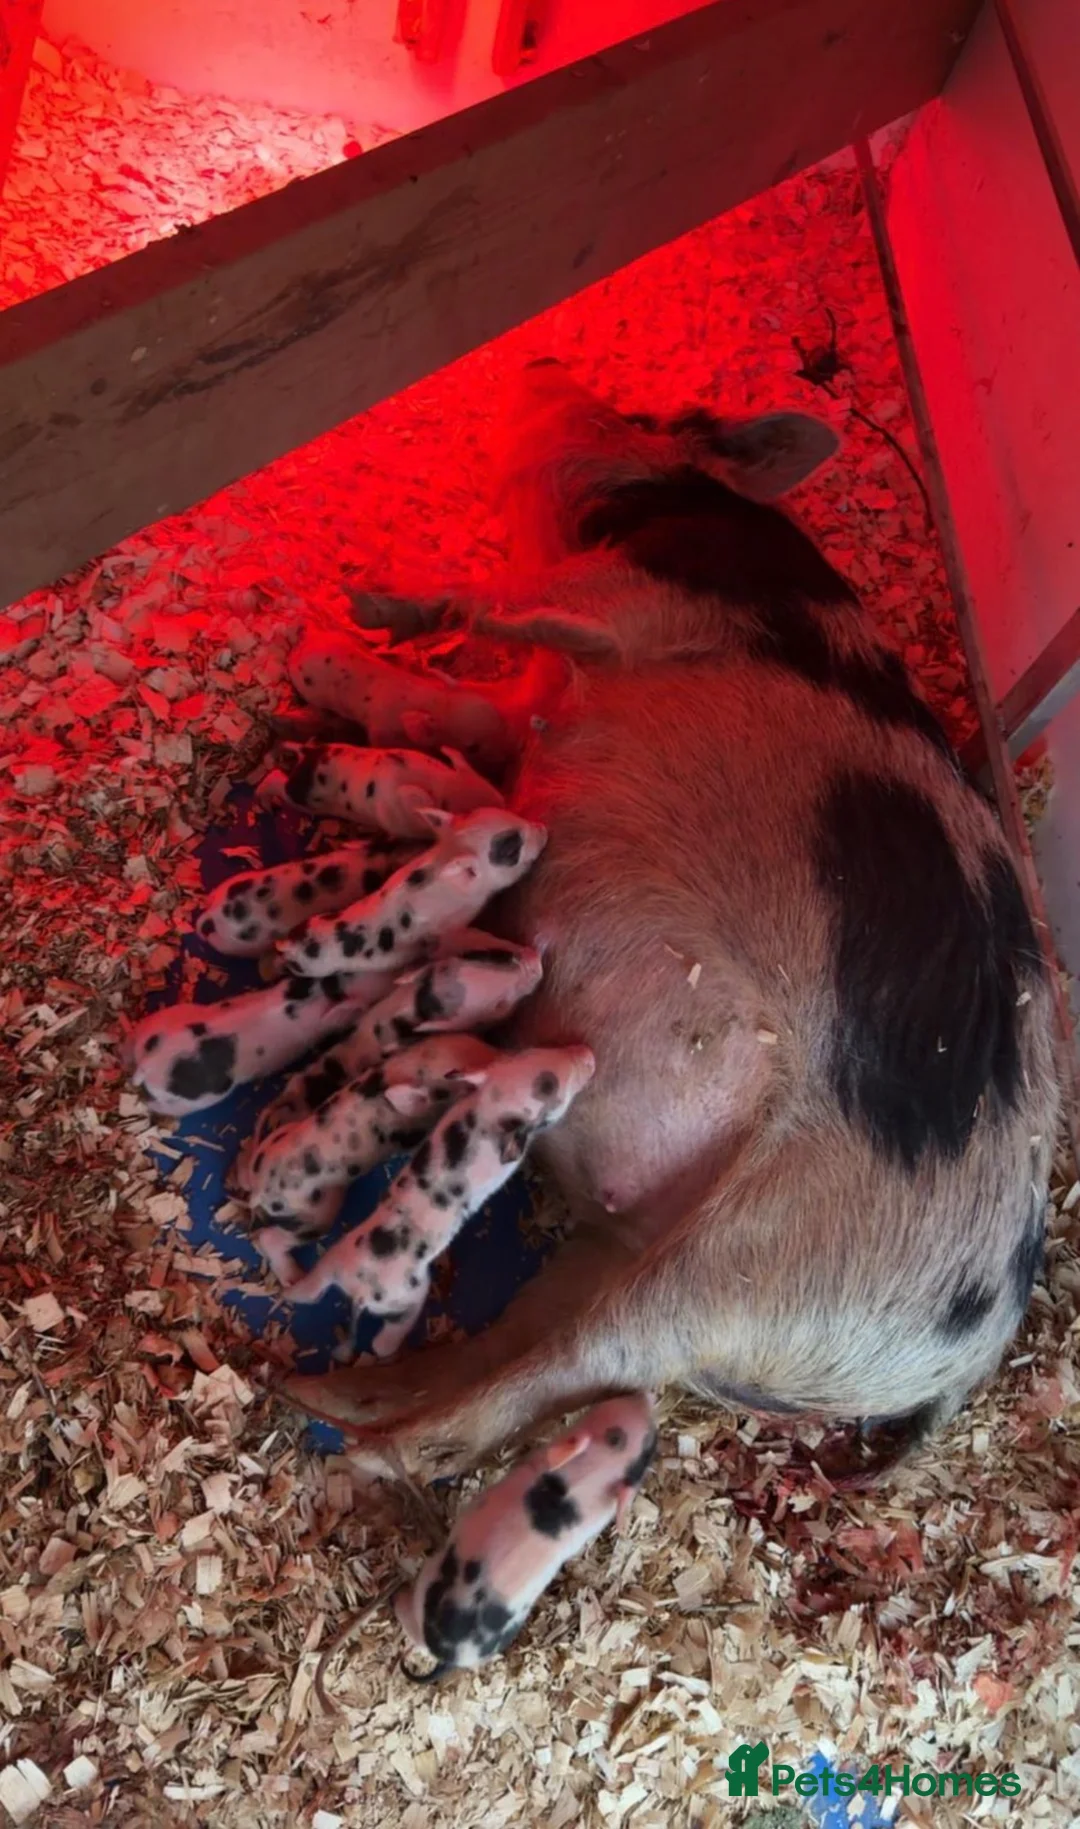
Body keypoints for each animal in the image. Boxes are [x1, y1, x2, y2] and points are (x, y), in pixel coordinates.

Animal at [278, 806, 547, 980]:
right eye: (512, 850)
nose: (544, 828)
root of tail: (286, 944)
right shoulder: (444, 933)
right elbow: (475, 940)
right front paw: (532, 960)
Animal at [284, 1045, 595, 1357]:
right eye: (558, 1092)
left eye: (533, 1051)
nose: (588, 1053)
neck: (485, 1113)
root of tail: (360, 1293)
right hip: (411, 1293)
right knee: (381, 1341)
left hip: (335, 1257)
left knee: (310, 1289)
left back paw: (292, 1286)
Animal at [394, 1393, 657, 1676]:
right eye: (616, 1438)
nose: (645, 1396)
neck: (580, 1485)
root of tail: (449, 1657)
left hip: (426, 1584)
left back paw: (397, 1596)